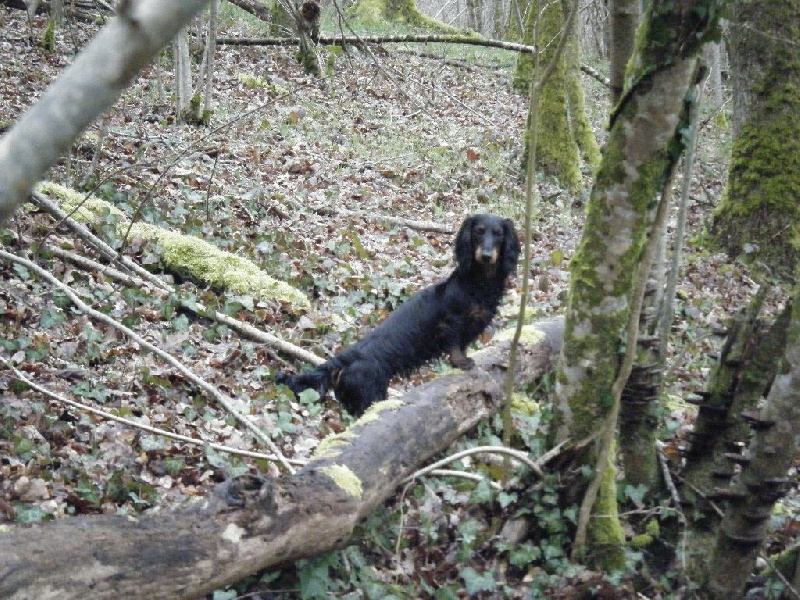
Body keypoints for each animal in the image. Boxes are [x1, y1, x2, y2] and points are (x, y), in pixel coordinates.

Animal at [277, 214, 520, 416]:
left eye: (498, 233)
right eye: (478, 231)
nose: (486, 256)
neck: (478, 284)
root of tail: (344, 360)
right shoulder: (451, 322)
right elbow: (454, 344)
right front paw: (461, 362)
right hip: (368, 396)